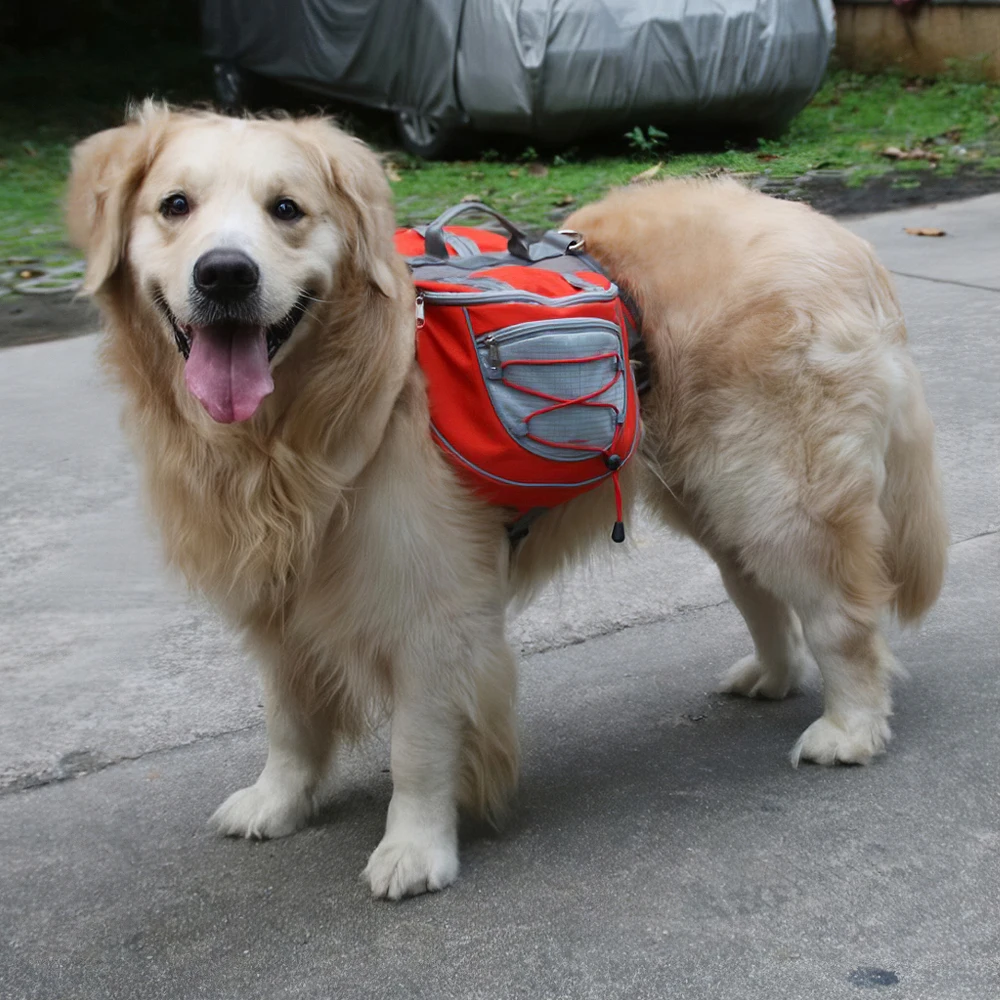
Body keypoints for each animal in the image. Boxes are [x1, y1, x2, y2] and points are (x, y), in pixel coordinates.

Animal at [68, 105, 944, 904]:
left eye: (287, 209)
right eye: (174, 205)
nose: (225, 275)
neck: (303, 425)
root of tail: (841, 239)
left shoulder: (431, 608)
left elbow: (416, 747)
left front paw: (415, 849)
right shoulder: (282, 596)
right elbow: (288, 718)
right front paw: (278, 801)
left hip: (779, 494)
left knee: (842, 615)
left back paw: (851, 728)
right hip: (713, 496)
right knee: (760, 592)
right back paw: (770, 675)